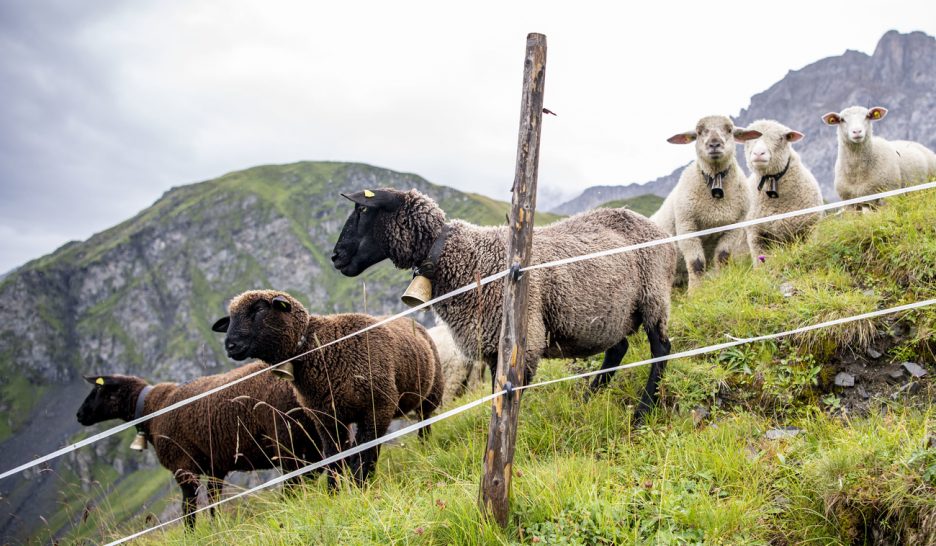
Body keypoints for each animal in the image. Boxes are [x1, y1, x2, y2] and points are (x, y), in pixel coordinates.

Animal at [75, 362, 323, 529]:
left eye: (98, 390)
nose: (79, 415)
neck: (151, 408)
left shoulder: (182, 467)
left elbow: (188, 509)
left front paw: (191, 535)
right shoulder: (216, 467)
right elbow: (213, 502)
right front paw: (218, 528)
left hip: (286, 438)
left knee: (295, 480)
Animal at [211, 289, 444, 488]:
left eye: (259, 309)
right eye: (230, 318)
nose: (230, 346)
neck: (321, 348)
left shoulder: (378, 407)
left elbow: (363, 454)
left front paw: (361, 487)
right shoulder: (325, 418)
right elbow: (335, 459)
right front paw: (336, 492)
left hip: (430, 394)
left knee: (424, 422)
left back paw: (426, 447)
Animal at [330, 188, 677, 424]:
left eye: (362, 210)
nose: (335, 256)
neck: (465, 257)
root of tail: (658, 229)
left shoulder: (523, 340)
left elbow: (509, 394)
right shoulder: (489, 344)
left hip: (653, 296)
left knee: (661, 348)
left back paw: (642, 412)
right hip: (609, 313)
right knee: (618, 349)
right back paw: (588, 399)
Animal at [650, 115, 762, 290]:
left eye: (729, 130)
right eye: (698, 132)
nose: (714, 144)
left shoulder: (734, 226)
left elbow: (723, 257)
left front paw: (721, 281)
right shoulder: (687, 225)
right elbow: (696, 263)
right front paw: (695, 292)